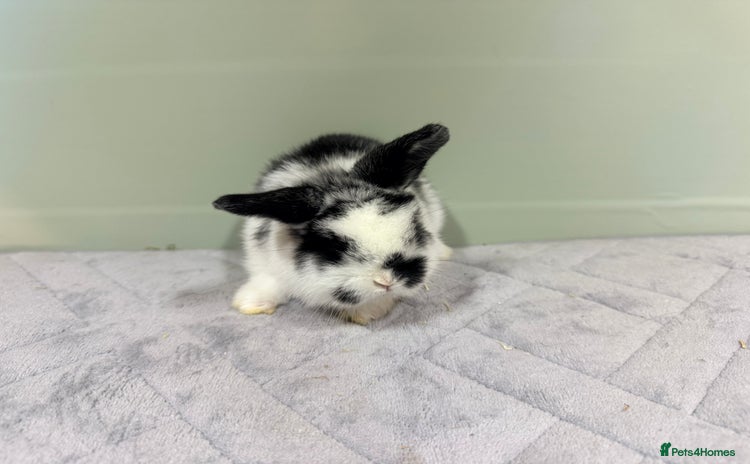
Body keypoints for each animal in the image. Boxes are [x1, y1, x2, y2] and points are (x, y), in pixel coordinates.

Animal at [212, 123, 452, 325]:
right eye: (332, 248)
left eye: (415, 228)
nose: (386, 280)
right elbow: (267, 279)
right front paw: (249, 304)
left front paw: (369, 311)